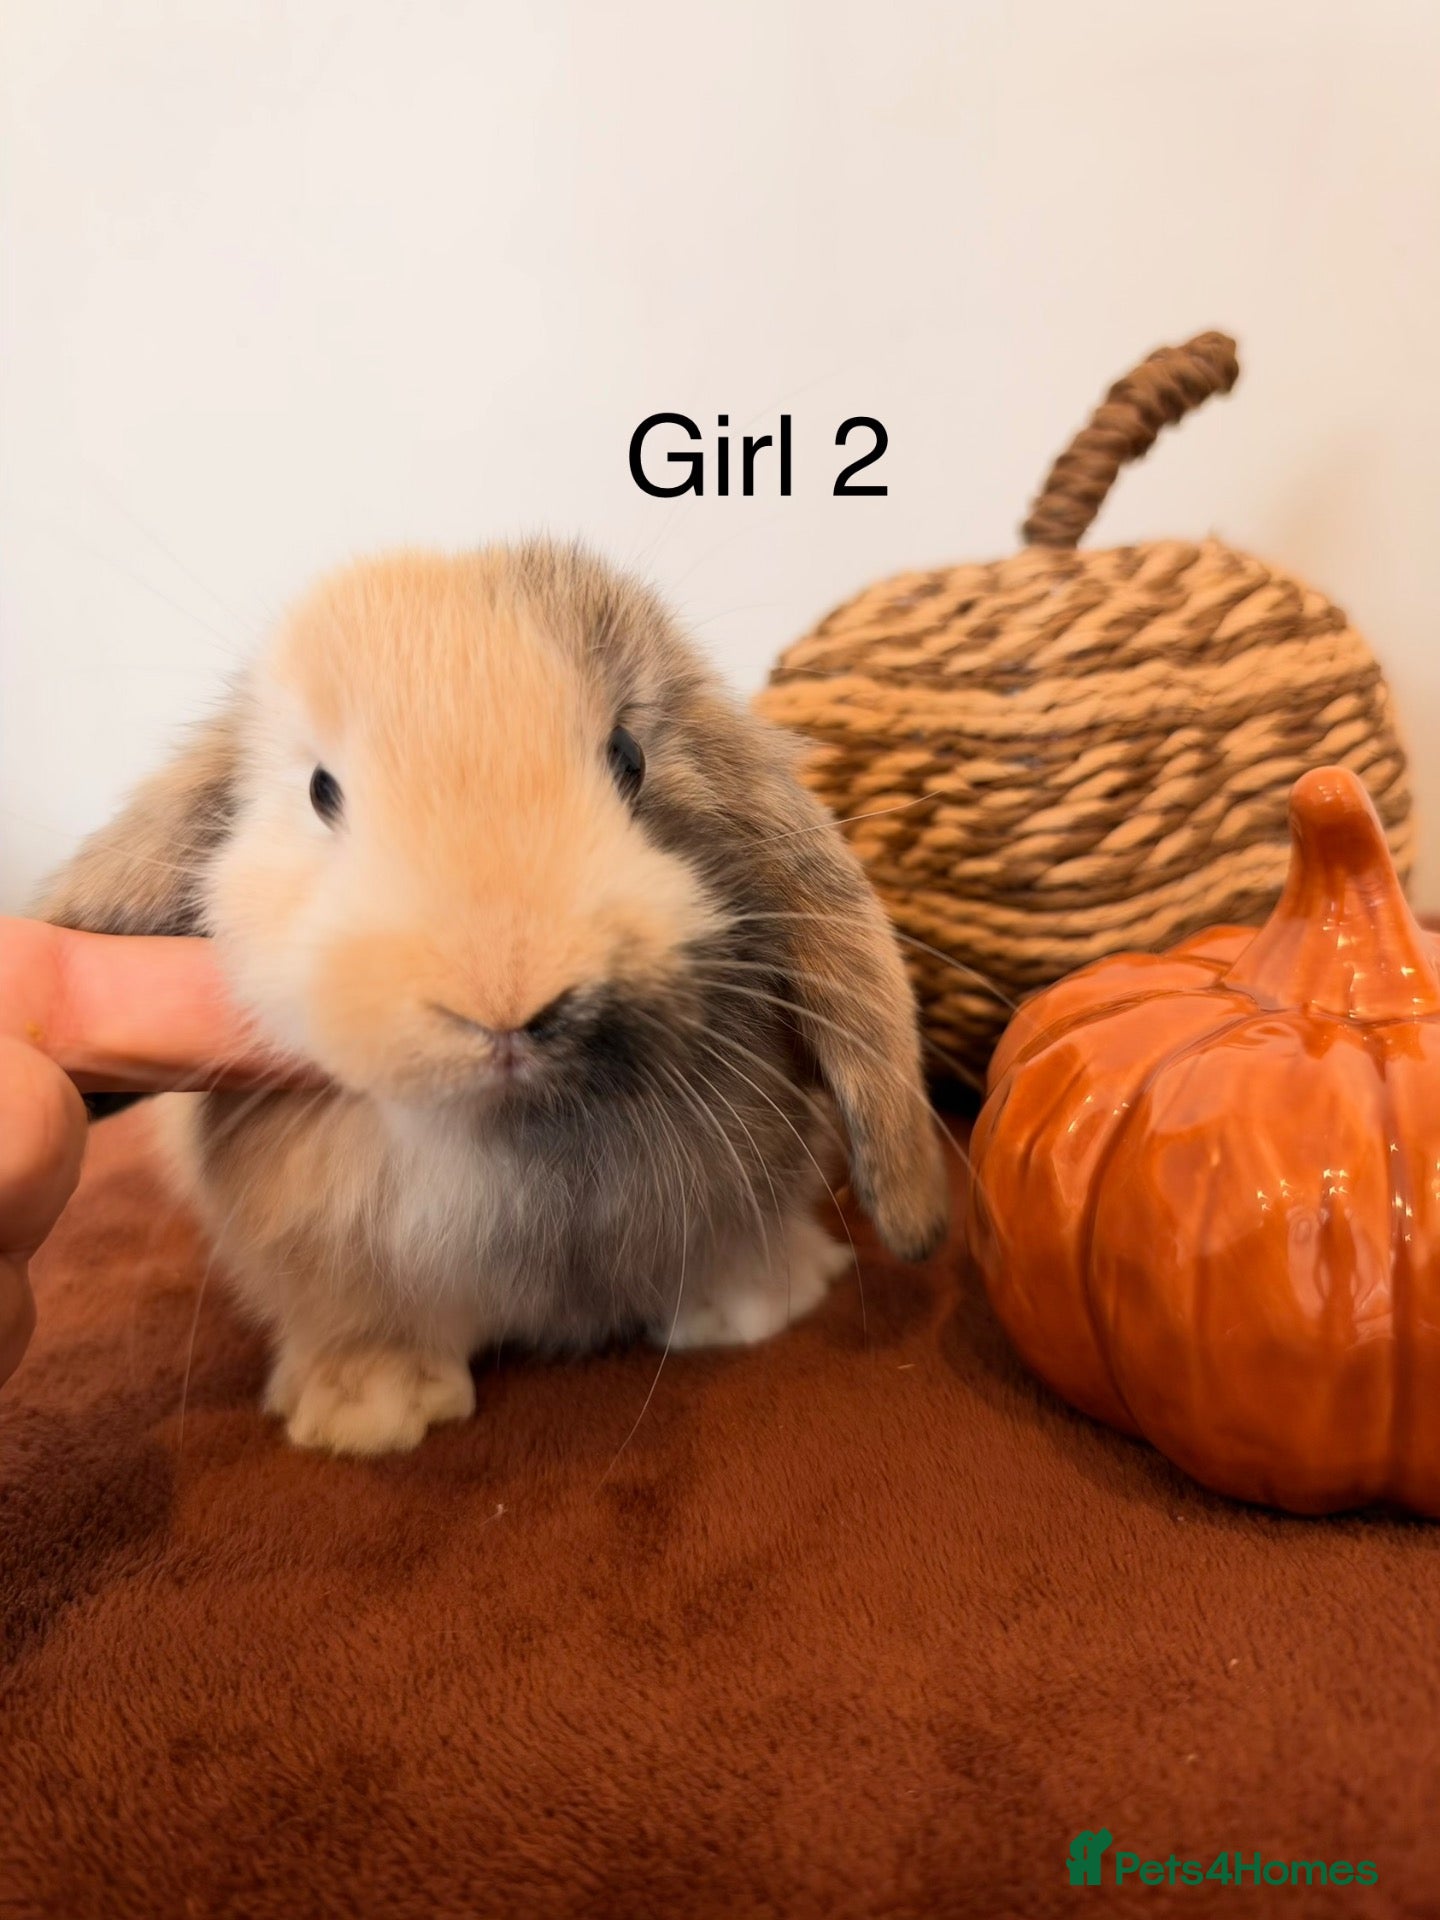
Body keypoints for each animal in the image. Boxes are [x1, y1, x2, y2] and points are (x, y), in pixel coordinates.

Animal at [36, 542, 948, 1455]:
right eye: (322, 791)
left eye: (629, 756)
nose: (507, 1000)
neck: (518, 1130)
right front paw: (368, 1409)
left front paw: (752, 1307)